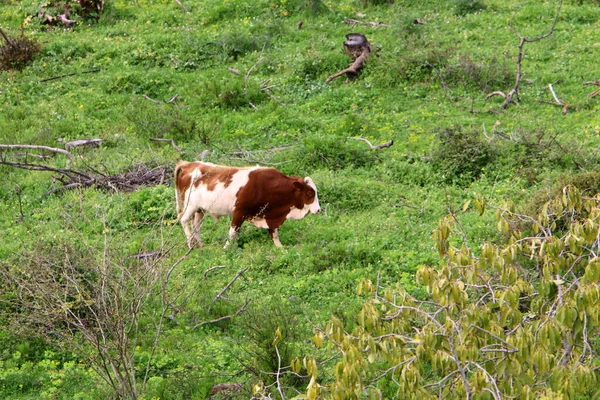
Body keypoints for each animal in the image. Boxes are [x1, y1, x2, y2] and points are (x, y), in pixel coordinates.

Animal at [173, 159, 322, 247]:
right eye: (310, 193)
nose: (319, 210)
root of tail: (188, 164)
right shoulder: (239, 212)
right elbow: (232, 233)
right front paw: (226, 249)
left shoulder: (268, 214)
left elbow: (274, 233)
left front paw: (281, 249)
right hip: (190, 206)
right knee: (184, 220)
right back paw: (190, 243)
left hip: (200, 209)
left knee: (196, 225)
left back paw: (200, 245)